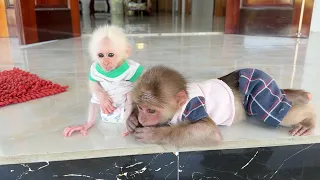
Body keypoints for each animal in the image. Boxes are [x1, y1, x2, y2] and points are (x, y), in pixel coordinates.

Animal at [125, 66, 316, 146]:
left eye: (151, 110)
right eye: (141, 108)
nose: (142, 117)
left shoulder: (194, 105)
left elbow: (210, 132)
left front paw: (154, 134)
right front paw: (132, 120)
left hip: (257, 88)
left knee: (277, 112)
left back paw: (310, 116)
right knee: (280, 97)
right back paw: (302, 96)